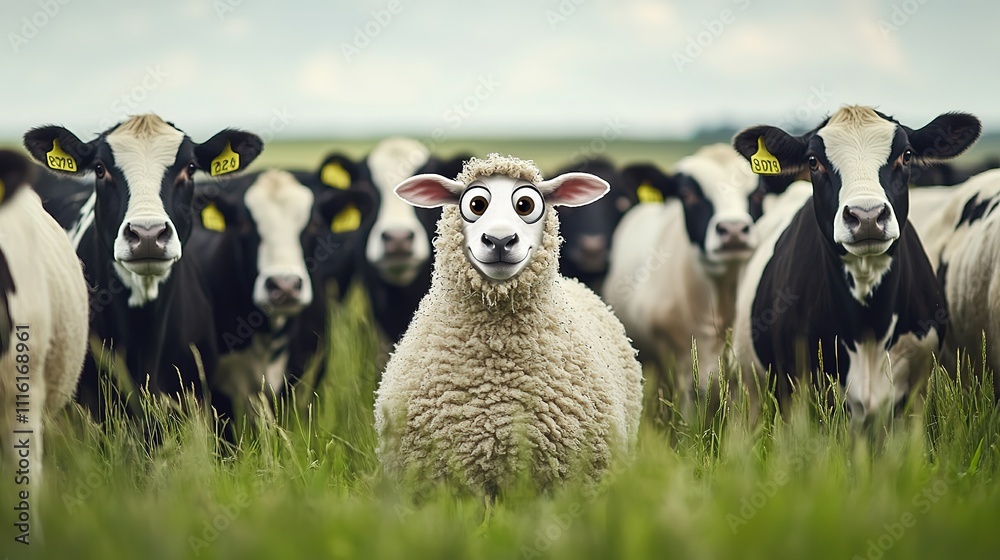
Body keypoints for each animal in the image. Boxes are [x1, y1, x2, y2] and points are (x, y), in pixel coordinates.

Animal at [729, 105, 981, 427]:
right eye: (813, 161)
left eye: (906, 155)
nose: (867, 216)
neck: (868, 325)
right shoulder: (796, 390)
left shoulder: (915, 391)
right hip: (752, 387)